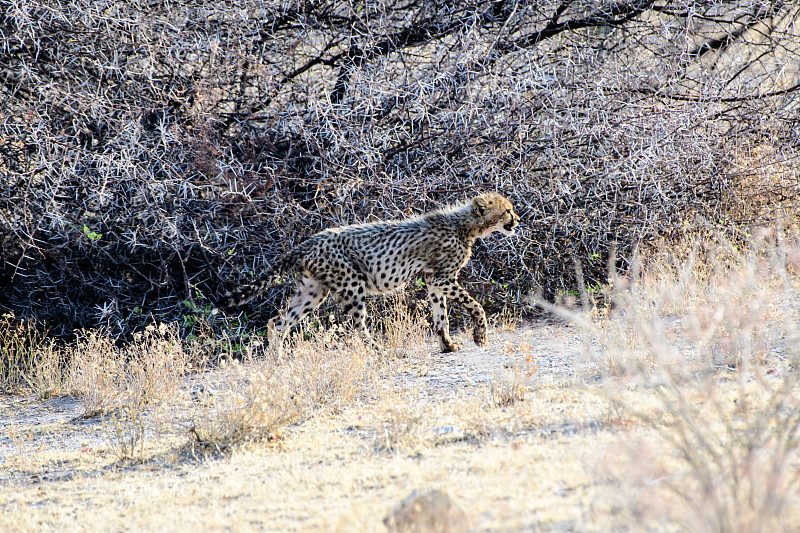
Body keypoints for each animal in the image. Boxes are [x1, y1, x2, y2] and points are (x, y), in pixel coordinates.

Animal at [212, 192, 520, 354]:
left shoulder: (435, 281)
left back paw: (276, 358)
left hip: (313, 291)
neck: (465, 224)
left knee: (278, 322)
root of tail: (310, 240)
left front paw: (447, 344)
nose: (517, 220)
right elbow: (476, 305)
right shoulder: (443, 277)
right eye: (507, 210)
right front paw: (480, 336)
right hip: (351, 285)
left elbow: (440, 315)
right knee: (357, 326)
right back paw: (378, 349)